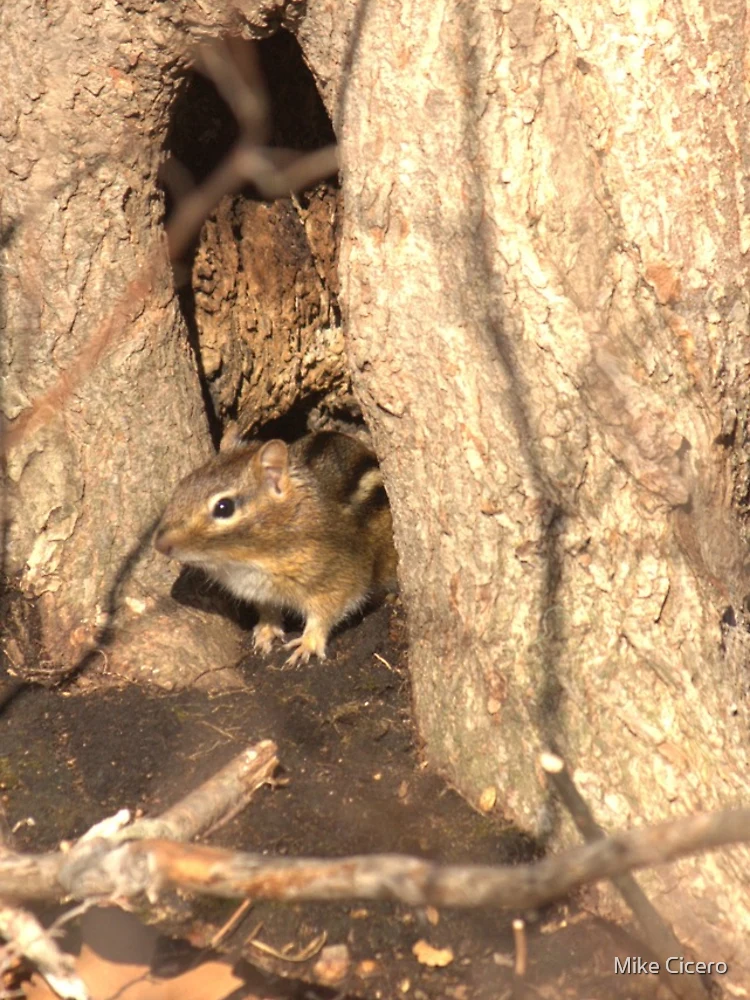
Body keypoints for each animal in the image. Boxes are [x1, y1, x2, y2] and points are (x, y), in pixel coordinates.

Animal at [154, 431, 398, 667]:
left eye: (224, 507)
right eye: (181, 486)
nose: (159, 544)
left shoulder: (339, 580)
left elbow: (323, 617)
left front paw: (307, 644)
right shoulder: (261, 593)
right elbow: (268, 611)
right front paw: (266, 631)